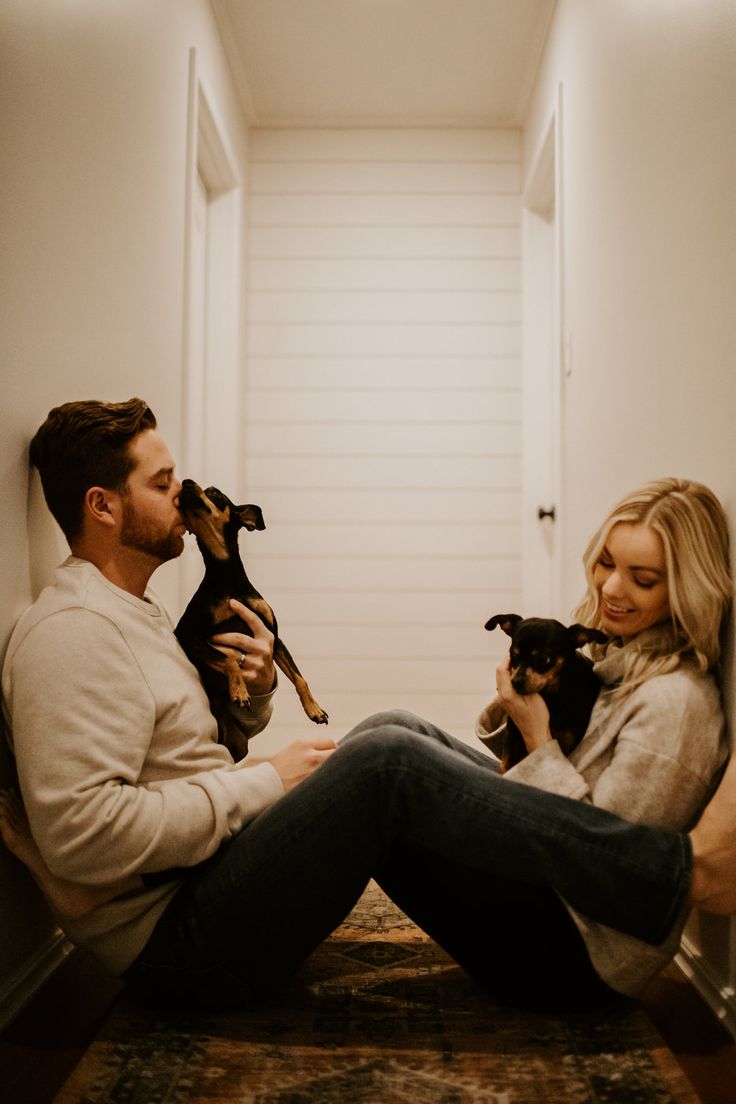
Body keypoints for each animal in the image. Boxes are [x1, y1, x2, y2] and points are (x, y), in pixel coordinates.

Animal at [175, 483, 328, 759]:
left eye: (215, 493)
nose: (186, 482)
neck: (226, 577)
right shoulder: (189, 636)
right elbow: (228, 659)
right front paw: (240, 691)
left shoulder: (273, 637)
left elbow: (300, 678)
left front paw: (314, 709)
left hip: (237, 741)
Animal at [483, 613, 604, 777]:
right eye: (513, 654)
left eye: (543, 659)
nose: (516, 682)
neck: (551, 697)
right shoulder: (512, 735)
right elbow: (504, 767)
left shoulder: (566, 744)